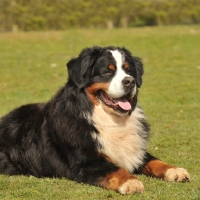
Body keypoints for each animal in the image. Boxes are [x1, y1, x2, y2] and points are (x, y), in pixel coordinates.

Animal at [0, 46, 190, 194]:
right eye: (107, 71)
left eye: (129, 70)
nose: (130, 82)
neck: (112, 120)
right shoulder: (85, 162)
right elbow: (116, 169)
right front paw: (131, 182)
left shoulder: (136, 150)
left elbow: (155, 160)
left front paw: (174, 170)